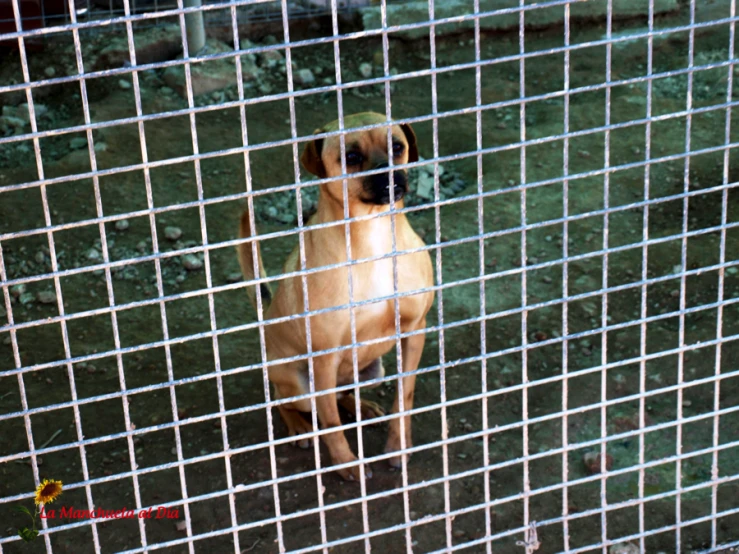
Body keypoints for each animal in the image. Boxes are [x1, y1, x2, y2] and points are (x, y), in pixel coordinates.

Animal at [237, 112, 434, 478]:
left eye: (397, 147)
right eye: (351, 156)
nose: (390, 176)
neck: (373, 237)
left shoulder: (415, 331)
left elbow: (405, 396)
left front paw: (397, 447)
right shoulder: (325, 357)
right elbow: (330, 423)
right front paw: (348, 466)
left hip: (371, 372)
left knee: (343, 394)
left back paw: (362, 406)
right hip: (300, 385)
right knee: (288, 401)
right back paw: (298, 427)